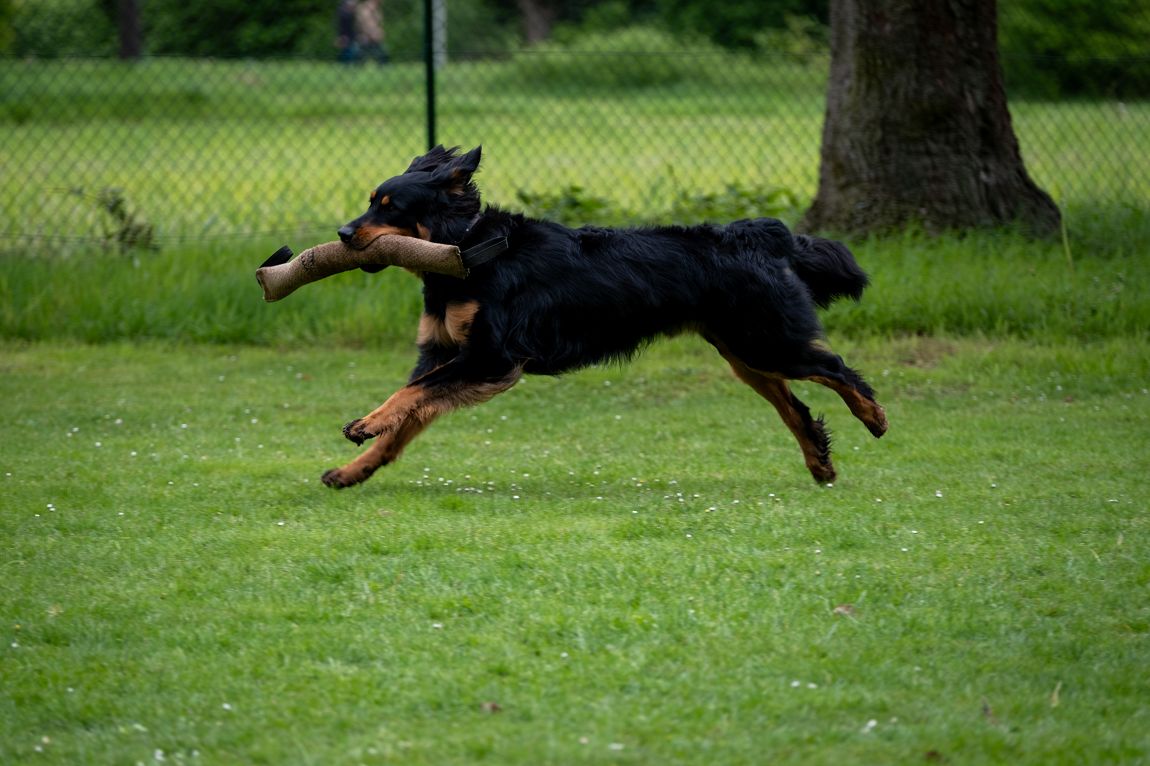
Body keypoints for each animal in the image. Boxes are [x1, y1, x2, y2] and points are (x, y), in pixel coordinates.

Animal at [324, 146, 887, 485]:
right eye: (370, 202)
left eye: (390, 207)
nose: (343, 234)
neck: (466, 251)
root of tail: (761, 234)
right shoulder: (446, 354)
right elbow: (409, 415)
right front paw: (356, 468)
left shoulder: (490, 357)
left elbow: (409, 397)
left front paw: (366, 422)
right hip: (745, 353)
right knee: (795, 406)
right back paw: (819, 462)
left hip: (766, 342)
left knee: (837, 369)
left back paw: (873, 417)